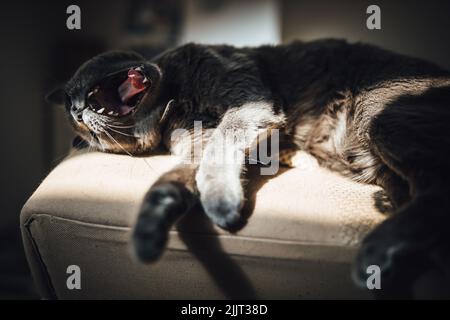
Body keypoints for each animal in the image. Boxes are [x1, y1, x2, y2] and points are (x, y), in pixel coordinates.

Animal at [48, 39, 450, 298]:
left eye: (75, 99)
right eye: (87, 131)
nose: (77, 112)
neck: (174, 102)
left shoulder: (246, 103)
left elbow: (221, 146)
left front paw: (221, 204)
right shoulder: (196, 146)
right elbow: (173, 182)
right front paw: (148, 236)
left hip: (382, 117)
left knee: (437, 189)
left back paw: (375, 254)